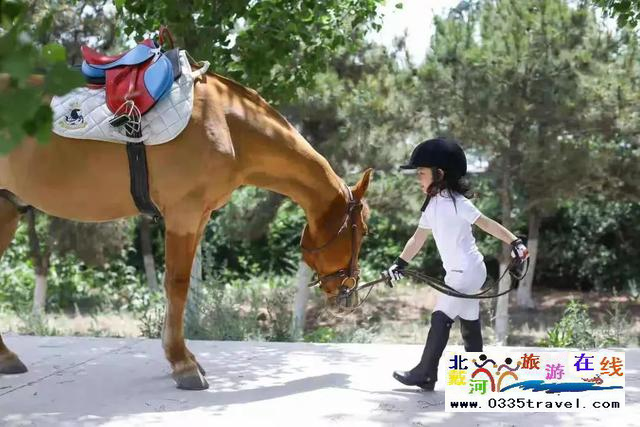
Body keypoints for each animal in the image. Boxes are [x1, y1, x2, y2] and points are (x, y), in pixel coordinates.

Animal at [0, 67, 372, 390]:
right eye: (364, 230)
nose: (350, 293)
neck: (228, 123)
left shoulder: (200, 215)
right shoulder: (184, 213)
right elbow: (177, 286)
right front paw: (182, 364)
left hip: (7, 210)